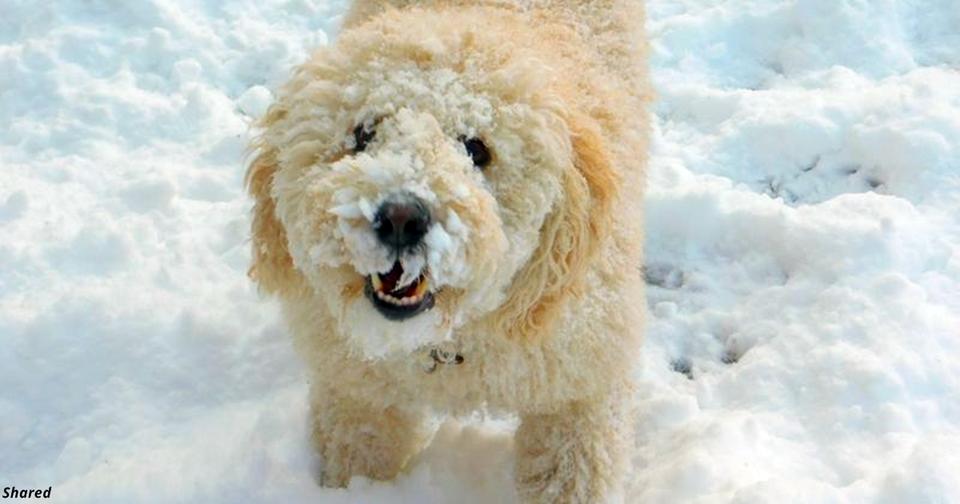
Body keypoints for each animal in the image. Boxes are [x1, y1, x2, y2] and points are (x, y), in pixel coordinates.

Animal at [248, 0, 652, 500]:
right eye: (363, 134)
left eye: (476, 148)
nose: (401, 217)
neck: (448, 341)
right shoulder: (358, 392)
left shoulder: (581, 388)